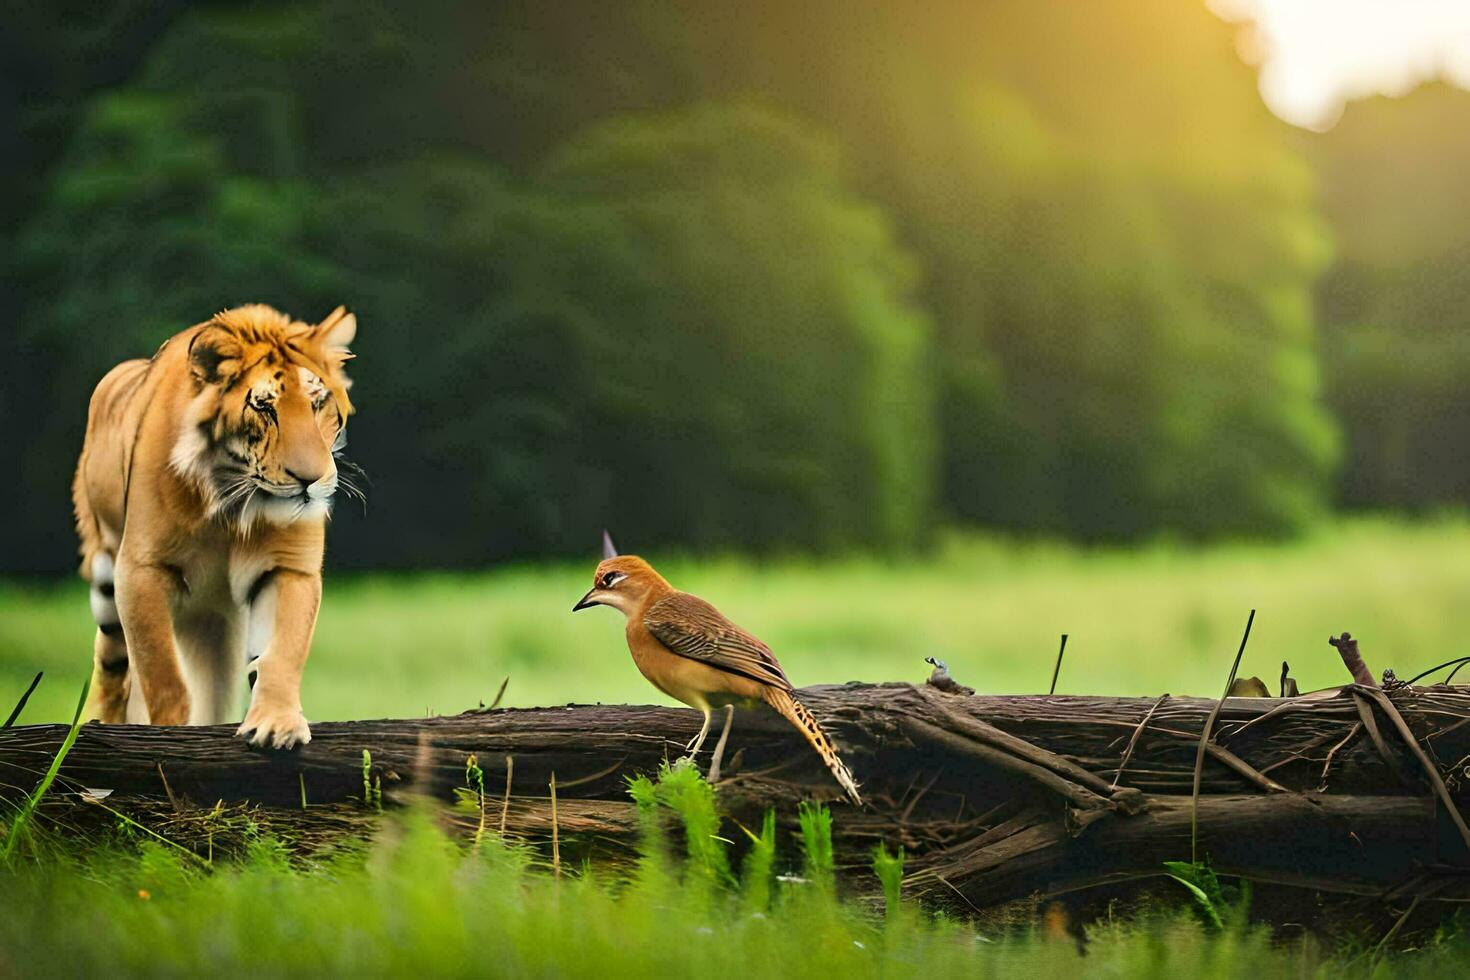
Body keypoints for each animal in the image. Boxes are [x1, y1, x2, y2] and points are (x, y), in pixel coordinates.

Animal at [71, 302, 361, 746]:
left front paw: (277, 724)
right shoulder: (141, 569)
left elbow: (280, 654)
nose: (310, 480)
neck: (232, 506)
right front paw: (169, 736)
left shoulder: (287, 568)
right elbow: (163, 674)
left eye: (318, 402)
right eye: (264, 406)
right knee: (112, 668)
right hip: (106, 582)